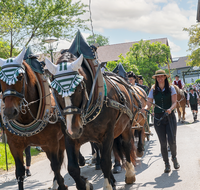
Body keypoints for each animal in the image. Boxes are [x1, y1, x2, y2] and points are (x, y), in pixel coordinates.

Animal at [0, 51, 67, 190]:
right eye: (0, 79)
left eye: (20, 76)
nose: (9, 112)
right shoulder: (14, 146)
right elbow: (19, 172)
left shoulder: (52, 142)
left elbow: (56, 166)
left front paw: (62, 184)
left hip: (61, 140)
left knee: (59, 160)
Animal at [45, 52, 137, 190]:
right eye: (55, 91)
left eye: (78, 89)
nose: (74, 129)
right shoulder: (69, 137)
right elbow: (72, 168)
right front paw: (85, 184)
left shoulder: (107, 134)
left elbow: (106, 162)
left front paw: (107, 185)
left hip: (125, 126)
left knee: (126, 145)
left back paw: (129, 173)